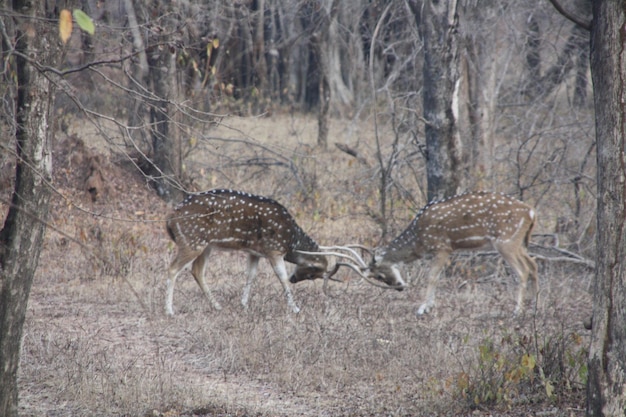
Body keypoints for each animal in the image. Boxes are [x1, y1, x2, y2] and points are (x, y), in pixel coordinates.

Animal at [163, 187, 334, 314]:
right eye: (313, 271)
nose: (294, 279)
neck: (291, 239)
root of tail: (170, 217)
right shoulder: (274, 249)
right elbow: (282, 278)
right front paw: (295, 308)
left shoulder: (254, 252)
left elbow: (250, 275)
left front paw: (244, 304)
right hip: (192, 241)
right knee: (172, 268)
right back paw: (169, 310)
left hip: (206, 245)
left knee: (197, 270)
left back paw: (217, 306)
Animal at [292, 192, 536, 316]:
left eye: (379, 274)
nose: (400, 286)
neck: (418, 238)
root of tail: (531, 212)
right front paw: (428, 306)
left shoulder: (442, 246)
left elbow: (432, 277)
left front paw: (422, 308)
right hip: (520, 242)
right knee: (533, 265)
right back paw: (535, 308)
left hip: (506, 241)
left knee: (522, 271)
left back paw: (517, 311)